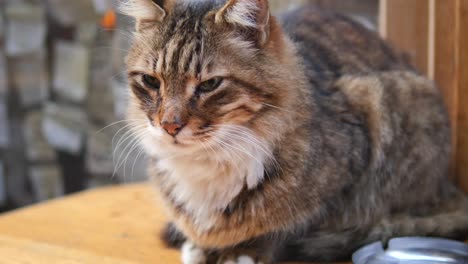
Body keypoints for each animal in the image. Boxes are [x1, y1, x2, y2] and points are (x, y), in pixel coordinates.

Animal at [119, 0, 468, 262]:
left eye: (210, 85)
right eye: (151, 81)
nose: (170, 125)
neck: (207, 163)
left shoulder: (345, 176)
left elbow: (283, 226)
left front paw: (244, 250)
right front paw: (203, 247)